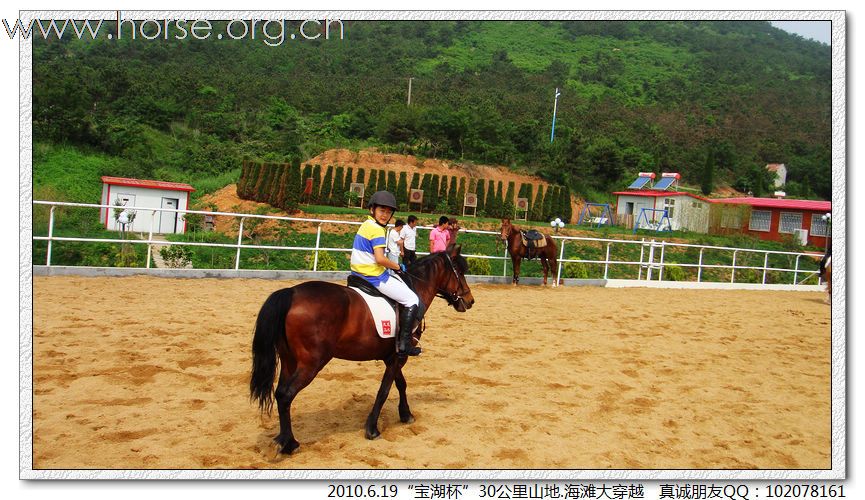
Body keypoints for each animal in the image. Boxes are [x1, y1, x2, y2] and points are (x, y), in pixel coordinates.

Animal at [246, 244, 476, 456]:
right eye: (459, 270)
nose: (470, 300)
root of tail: (291, 293)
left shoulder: (392, 356)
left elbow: (400, 384)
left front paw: (405, 414)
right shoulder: (398, 356)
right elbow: (384, 390)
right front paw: (372, 428)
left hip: (289, 360)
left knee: (279, 393)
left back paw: (284, 440)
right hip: (311, 363)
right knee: (286, 394)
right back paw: (290, 444)